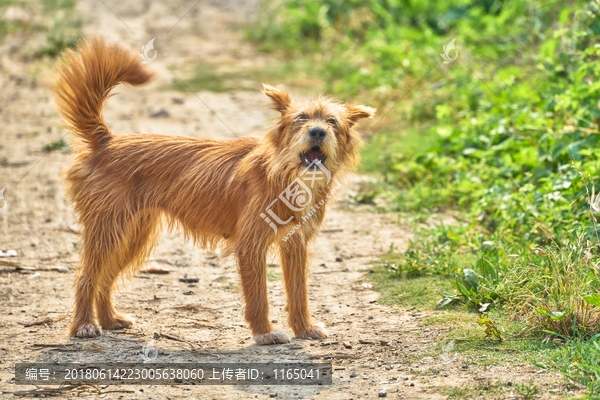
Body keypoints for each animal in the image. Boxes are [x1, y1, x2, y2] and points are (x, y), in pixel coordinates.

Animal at [54, 38, 372, 344]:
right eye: (301, 119)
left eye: (332, 121)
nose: (317, 132)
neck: (285, 174)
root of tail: (106, 142)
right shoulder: (251, 246)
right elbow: (259, 296)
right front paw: (265, 334)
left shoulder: (295, 245)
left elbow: (299, 293)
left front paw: (303, 328)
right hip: (109, 230)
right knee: (85, 277)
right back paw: (83, 325)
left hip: (132, 235)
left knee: (105, 278)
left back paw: (109, 319)